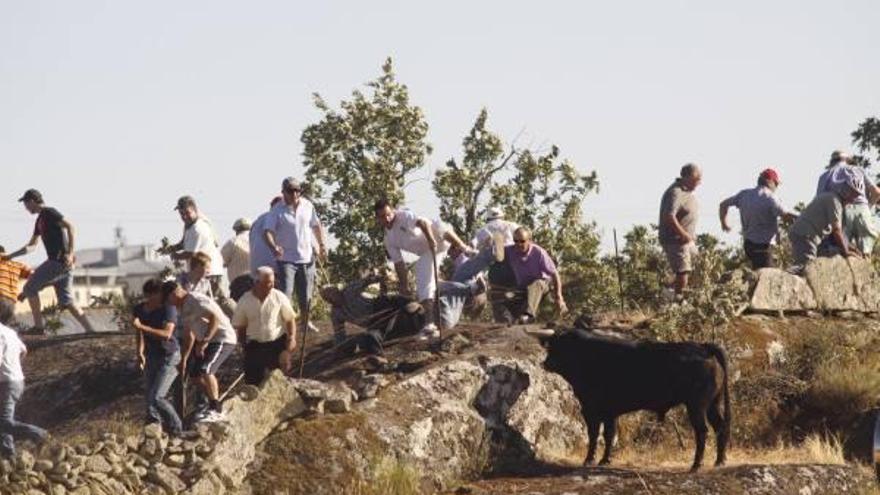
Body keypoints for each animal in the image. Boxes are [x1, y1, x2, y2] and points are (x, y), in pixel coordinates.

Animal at [532, 330, 732, 472]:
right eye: (552, 346)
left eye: (561, 347)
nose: (545, 363)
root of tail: (703, 346)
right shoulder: (609, 412)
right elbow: (609, 434)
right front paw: (605, 460)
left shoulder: (591, 409)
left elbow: (594, 434)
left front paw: (589, 460)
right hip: (712, 405)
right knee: (720, 426)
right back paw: (719, 461)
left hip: (696, 406)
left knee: (702, 430)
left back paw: (696, 465)